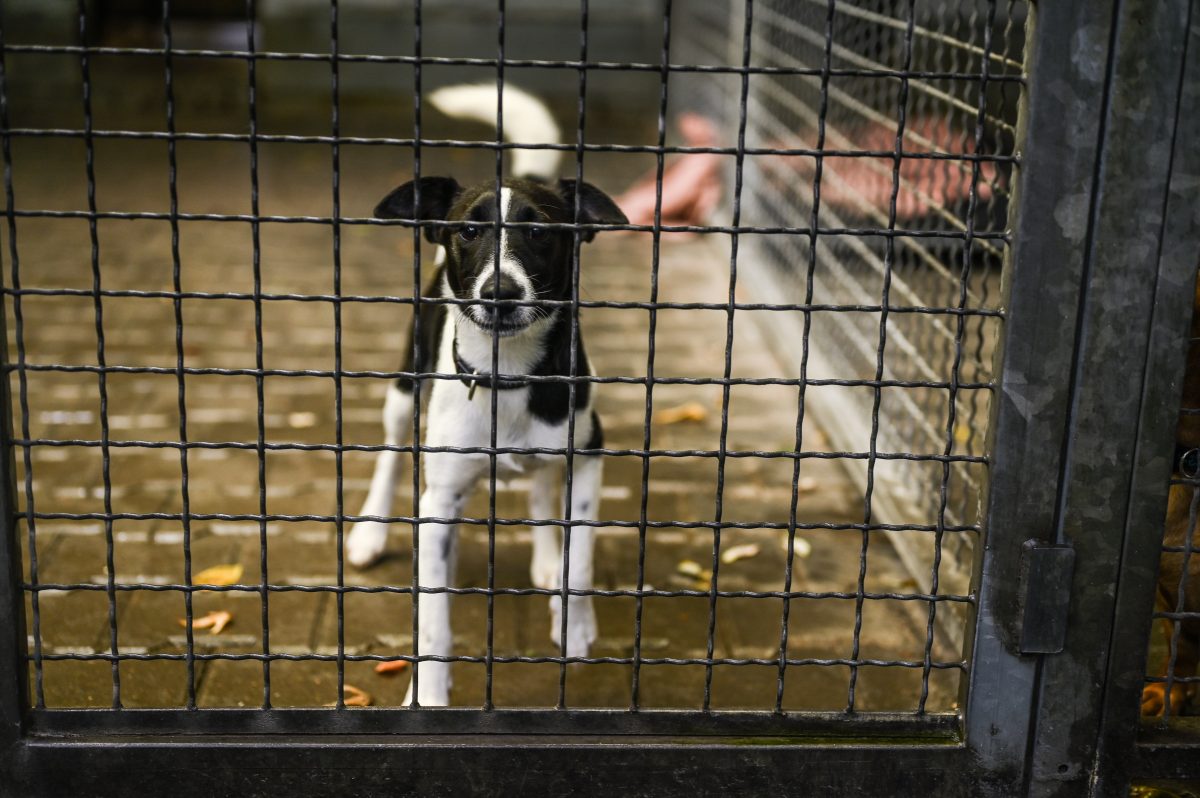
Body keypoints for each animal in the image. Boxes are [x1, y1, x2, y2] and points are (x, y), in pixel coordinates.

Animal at [345, 85, 628, 705]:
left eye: (541, 232)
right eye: (468, 231)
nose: (500, 292)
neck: (509, 376)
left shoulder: (589, 453)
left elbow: (579, 563)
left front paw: (574, 625)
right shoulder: (438, 505)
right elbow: (433, 622)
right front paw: (428, 696)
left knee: (544, 492)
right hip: (406, 385)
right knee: (390, 451)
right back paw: (370, 530)